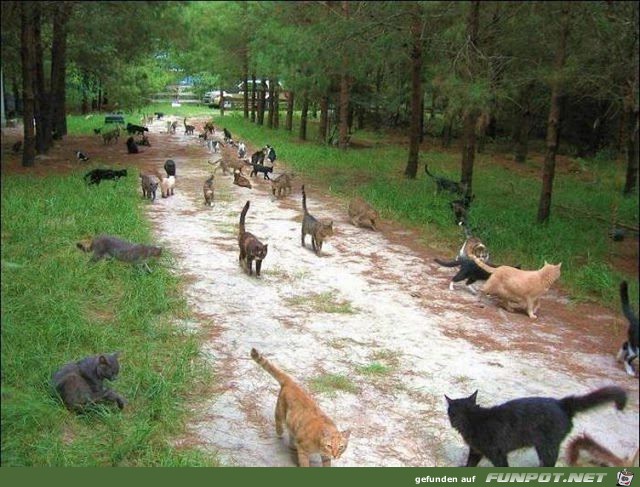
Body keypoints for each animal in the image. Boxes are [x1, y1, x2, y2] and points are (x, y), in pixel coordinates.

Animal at [444, 386, 624, 468]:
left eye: (453, 413)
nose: (454, 422)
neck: (474, 418)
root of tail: (562, 403)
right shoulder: (475, 451)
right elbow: (470, 464)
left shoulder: (498, 454)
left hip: (548, 447)